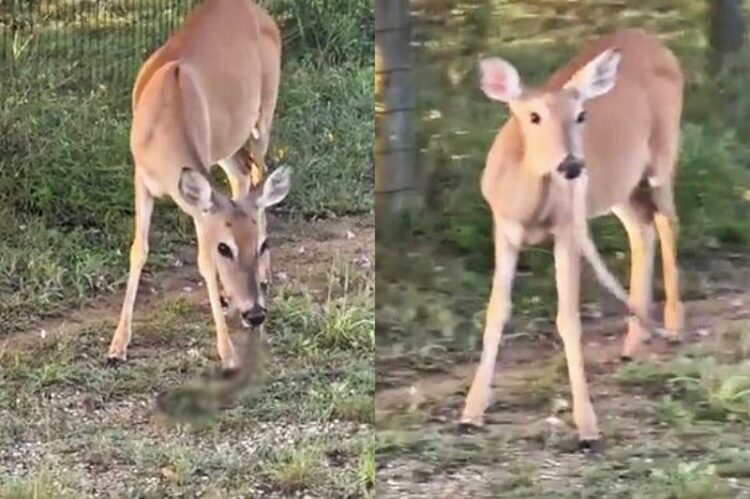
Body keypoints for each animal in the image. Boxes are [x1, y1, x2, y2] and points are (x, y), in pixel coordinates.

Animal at [107, 0, 290, 376]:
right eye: (225, 248)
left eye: (262, 244)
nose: (255, 313)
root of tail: (257, 10)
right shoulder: (141, 177)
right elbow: (139, 249)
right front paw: (117, 346)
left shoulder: (196, 194)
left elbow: (203, 263)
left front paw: (228, 354)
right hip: (227, 142)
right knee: (242, 177)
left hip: (263, 112)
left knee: (258, 179)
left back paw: (262, 279)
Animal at [462, 30, 684, 446]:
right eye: (533, 116)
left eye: (581, 115)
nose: (572, 165)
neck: (528, 208)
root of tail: (654, 41)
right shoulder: (503, 227)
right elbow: (496, 311)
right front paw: (470, 413)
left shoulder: (566, 229)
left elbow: (568, 319)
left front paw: (587, 428)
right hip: (618, 187)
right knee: (642, 228)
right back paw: (635, 340)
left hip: (663, 154)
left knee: (667, 220)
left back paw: (673, 327)